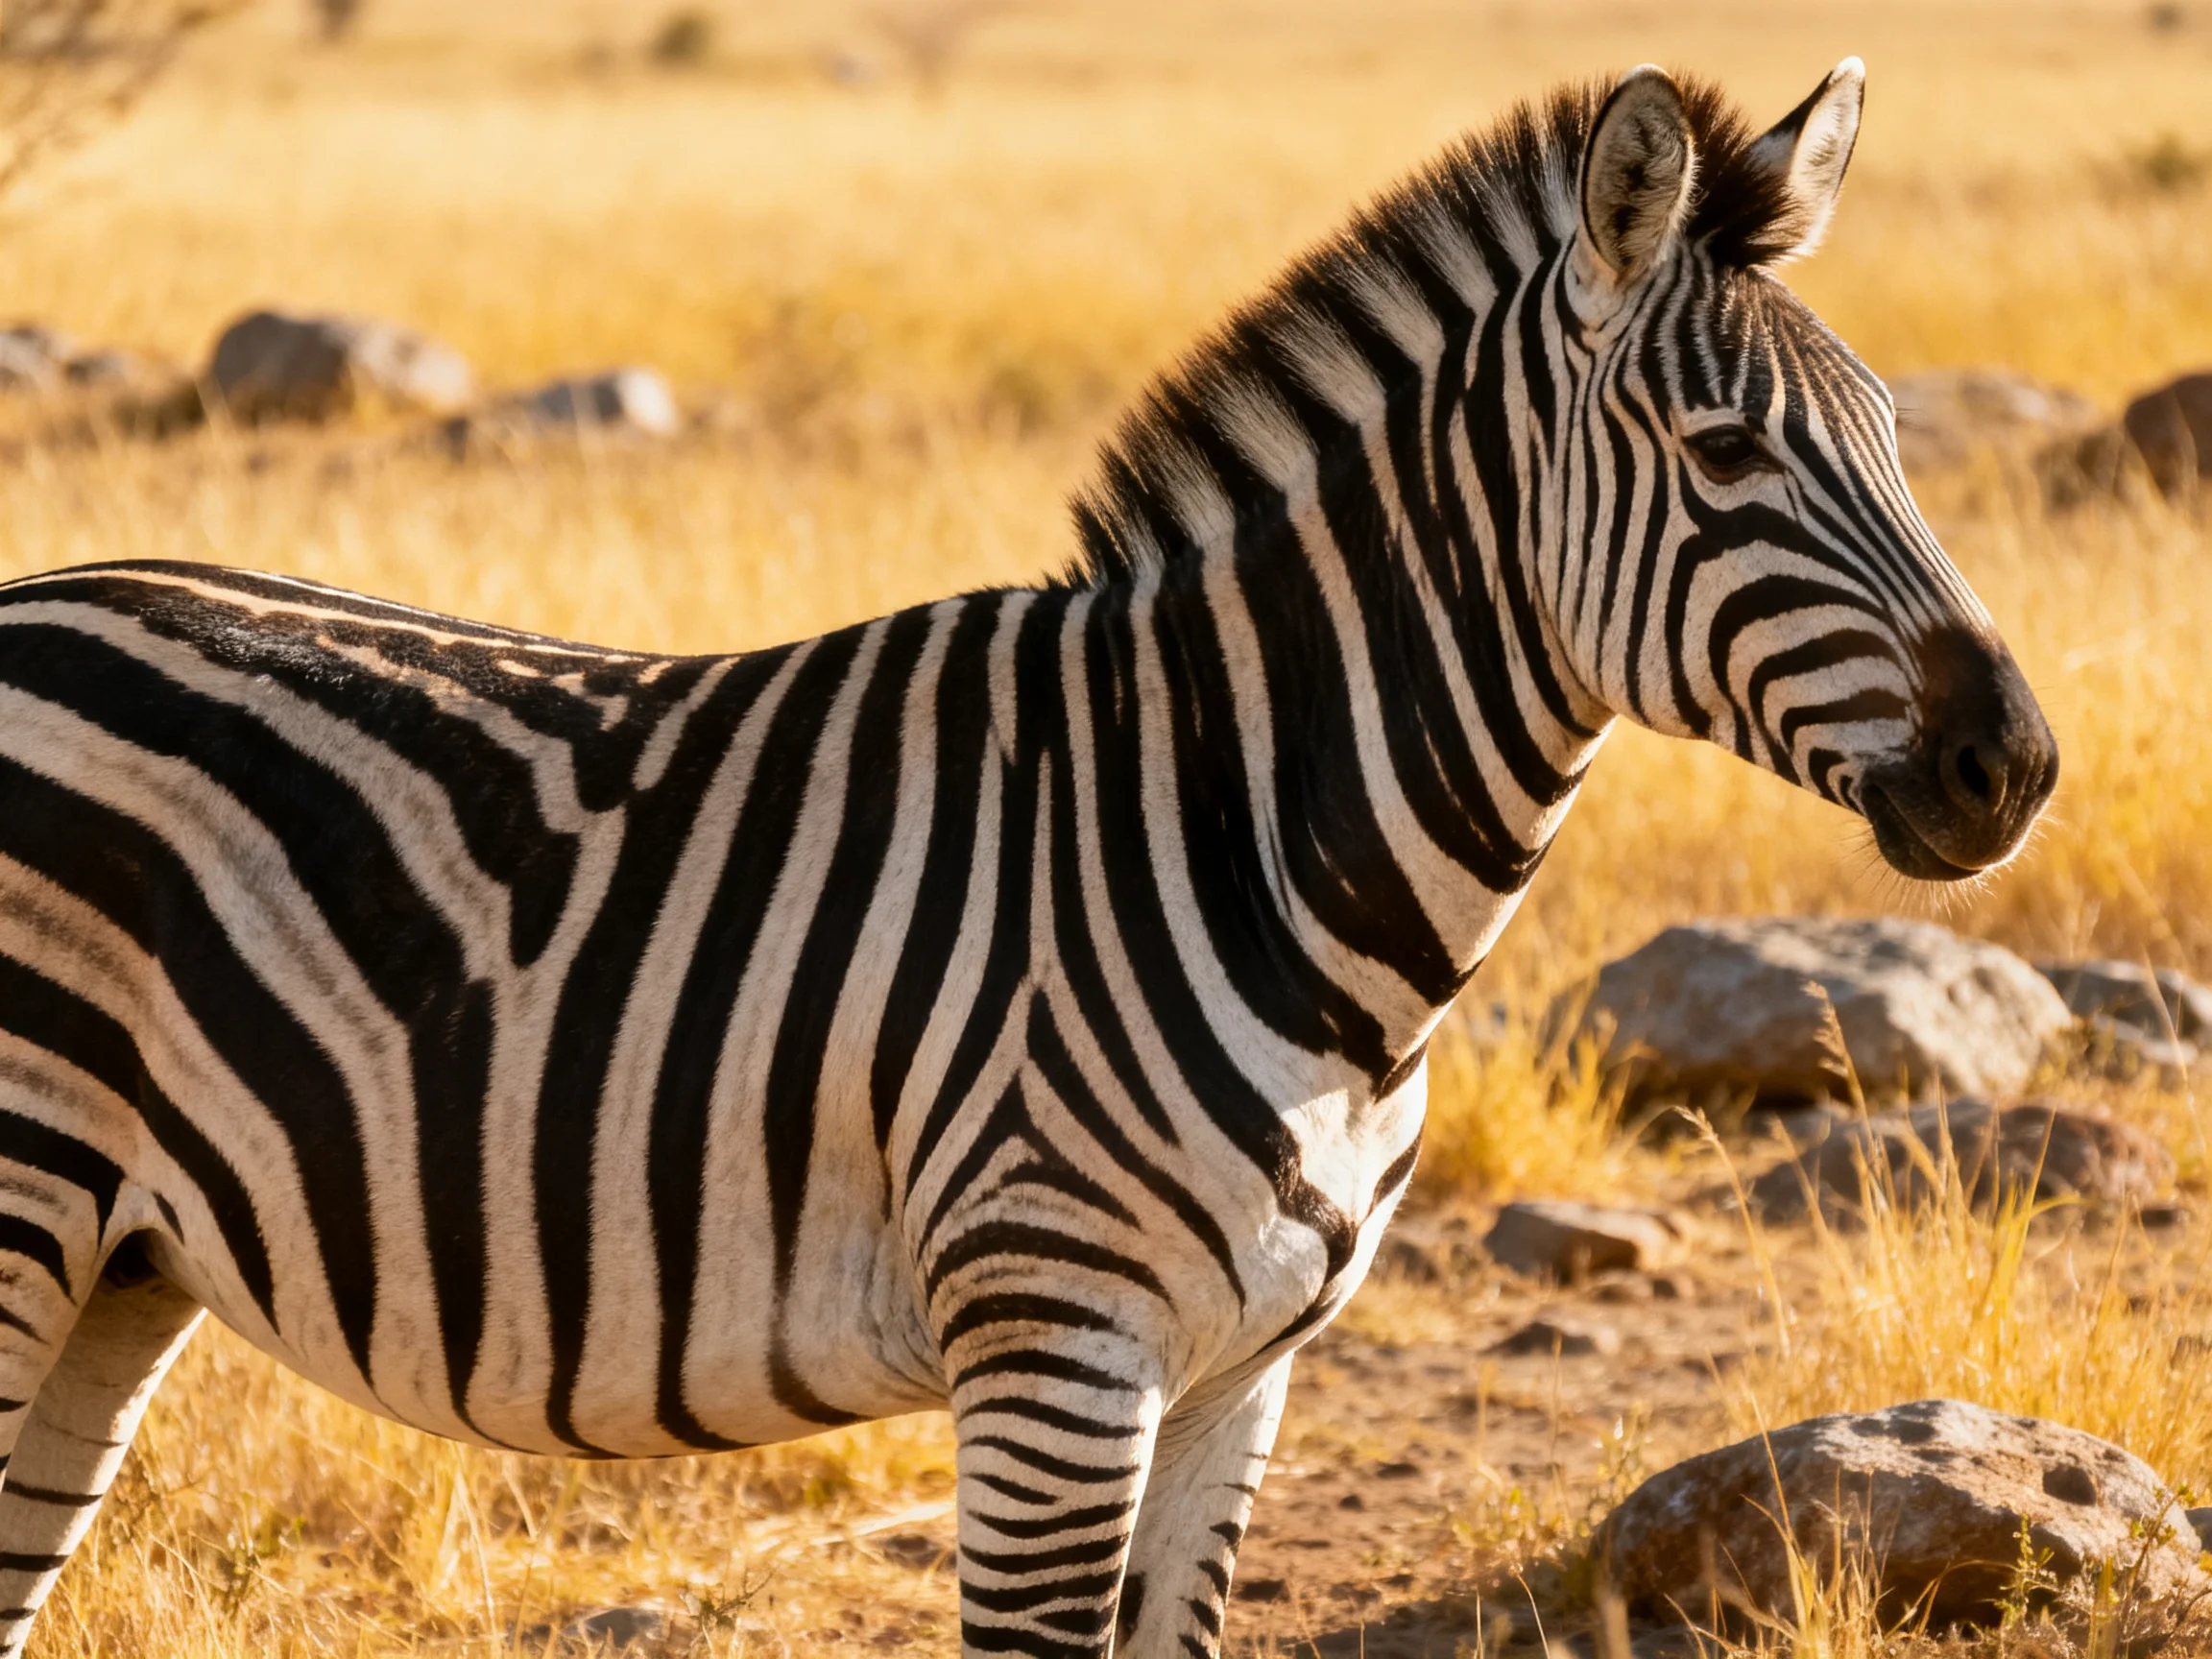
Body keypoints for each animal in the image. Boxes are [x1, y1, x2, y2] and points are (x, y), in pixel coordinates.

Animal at [0, 59, 2053, 1658]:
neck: (1244, 838)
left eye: (1891, 435)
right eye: (1718, 454)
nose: (2012, 765)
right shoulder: (1054, 1351)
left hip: (122, 1257)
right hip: (29, 1196)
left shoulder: (1241, 1379)